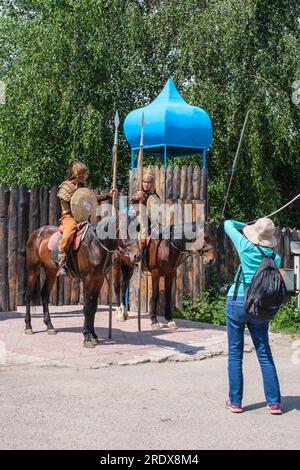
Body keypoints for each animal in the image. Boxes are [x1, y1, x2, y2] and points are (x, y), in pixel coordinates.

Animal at [24, 218, 141, 346]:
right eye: (126, 231)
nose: (137, 256)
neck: (95, 245)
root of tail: (36, 233)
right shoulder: (87, 280)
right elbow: (87, 308)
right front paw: (87, 337)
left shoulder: (98, 279)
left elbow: (93, 308)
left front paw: (93, 335)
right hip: (33, 270)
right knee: (28, 296)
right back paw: (28, 327)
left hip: (51, 271)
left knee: (44, 294)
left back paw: (50, 326)